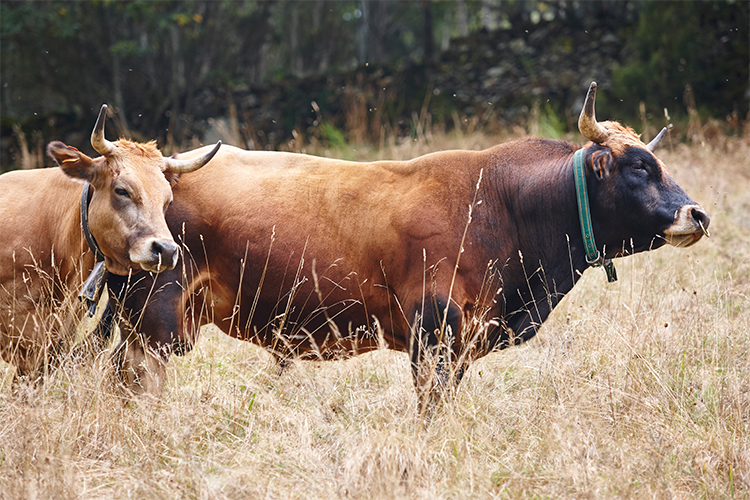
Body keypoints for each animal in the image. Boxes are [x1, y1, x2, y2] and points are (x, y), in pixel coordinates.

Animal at [107, 83, 712, 410]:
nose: (698, 214)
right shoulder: (434, 332)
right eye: (640, 167)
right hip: (156, 319)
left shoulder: (461, 342)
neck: (504, 204)